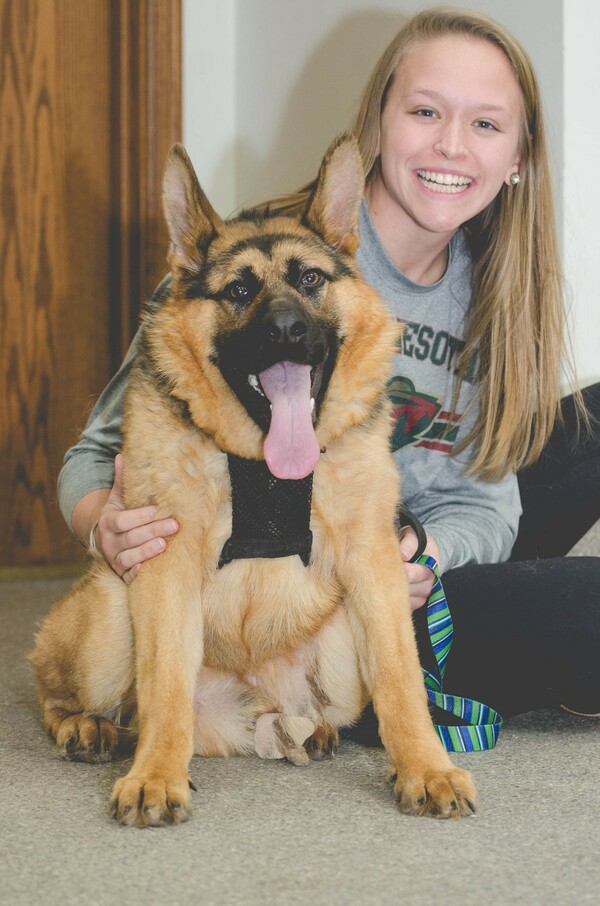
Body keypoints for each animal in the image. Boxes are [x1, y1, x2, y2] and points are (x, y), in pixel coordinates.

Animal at [30, 136, 476, 828]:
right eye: (239, 289)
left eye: (311, 279)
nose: (287, 330)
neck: (263, 468)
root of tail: (243, 704)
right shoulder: (163, 563)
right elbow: (164, 683)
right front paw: (156, 776)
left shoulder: (375, 566)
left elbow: (402, 682)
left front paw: (426, 768)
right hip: (110, 613)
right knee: (68, 690)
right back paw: (87, 727)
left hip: (340, 661)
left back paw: (313, 732)